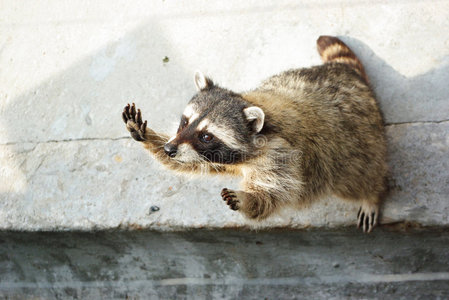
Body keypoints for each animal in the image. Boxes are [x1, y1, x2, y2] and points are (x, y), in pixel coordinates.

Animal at [123, 36, 388, 233]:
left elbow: (272, 195)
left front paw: (247, 199)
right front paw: (147, 135)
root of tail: (347, 73)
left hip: (354, 144)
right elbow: (190, 162)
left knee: (359, 175)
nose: (169, 148)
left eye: (207, 136)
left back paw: (372, 193)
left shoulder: (283, 155)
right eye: (185, 122)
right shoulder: (217, 157)